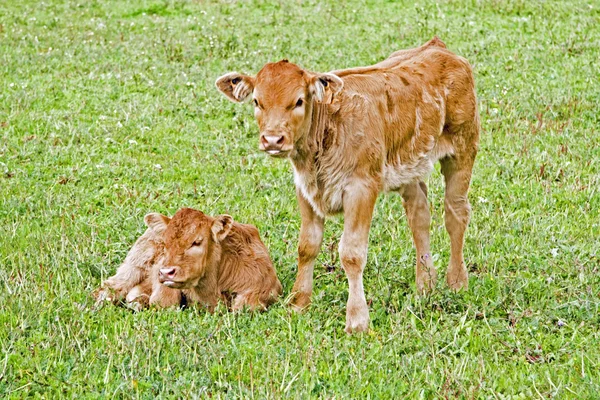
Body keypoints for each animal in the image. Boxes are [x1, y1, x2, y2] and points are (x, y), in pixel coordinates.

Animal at [218, 37, 480, 332]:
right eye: (256, 101)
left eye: (298, 101)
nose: (273, 140)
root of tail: (439, 47)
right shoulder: (305, 189)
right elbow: (307, 246)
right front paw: (298, 302)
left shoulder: (361, 188)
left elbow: (352, 254)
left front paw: (357, 320)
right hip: (409, 166)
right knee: (419, 217)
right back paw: (425, 285)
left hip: (463, 147)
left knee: (456, 214)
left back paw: (456, 281)